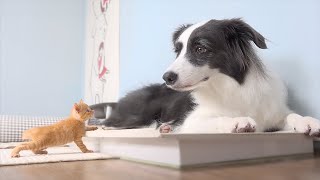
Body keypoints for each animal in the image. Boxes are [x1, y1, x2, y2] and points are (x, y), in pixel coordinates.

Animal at [104, 18, 320, 136]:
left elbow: (292, 115)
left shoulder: (272, 112)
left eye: (200, 48)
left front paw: (308, 121)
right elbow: (220, 118)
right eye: (178, 51)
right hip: (138, 114)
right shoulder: (191, 121)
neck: (231, 87)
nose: (167, 78)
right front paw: (238, 121)